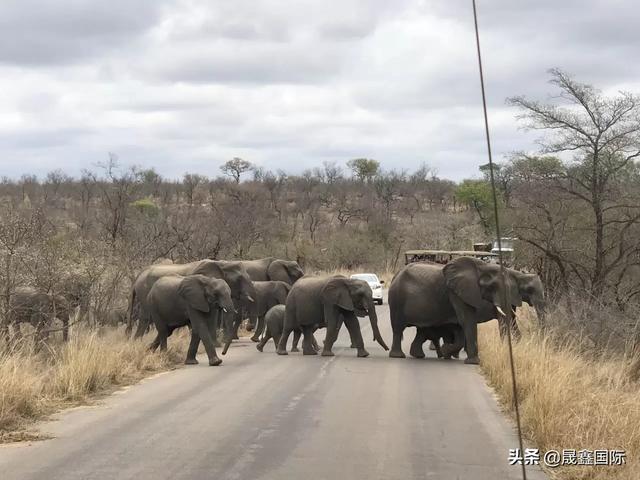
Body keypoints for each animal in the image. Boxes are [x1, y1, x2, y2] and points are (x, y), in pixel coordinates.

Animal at [388, 256, 524, 366]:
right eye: (492, 287)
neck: (482, 266)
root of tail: (396, 275)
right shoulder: (457, 293)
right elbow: (466, 320)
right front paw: (472, 362)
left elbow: (460, 327)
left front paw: (447, 353)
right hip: (397, 300)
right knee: (398, 328)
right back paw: (398, 356)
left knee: (421, 332)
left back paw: (418, 355)